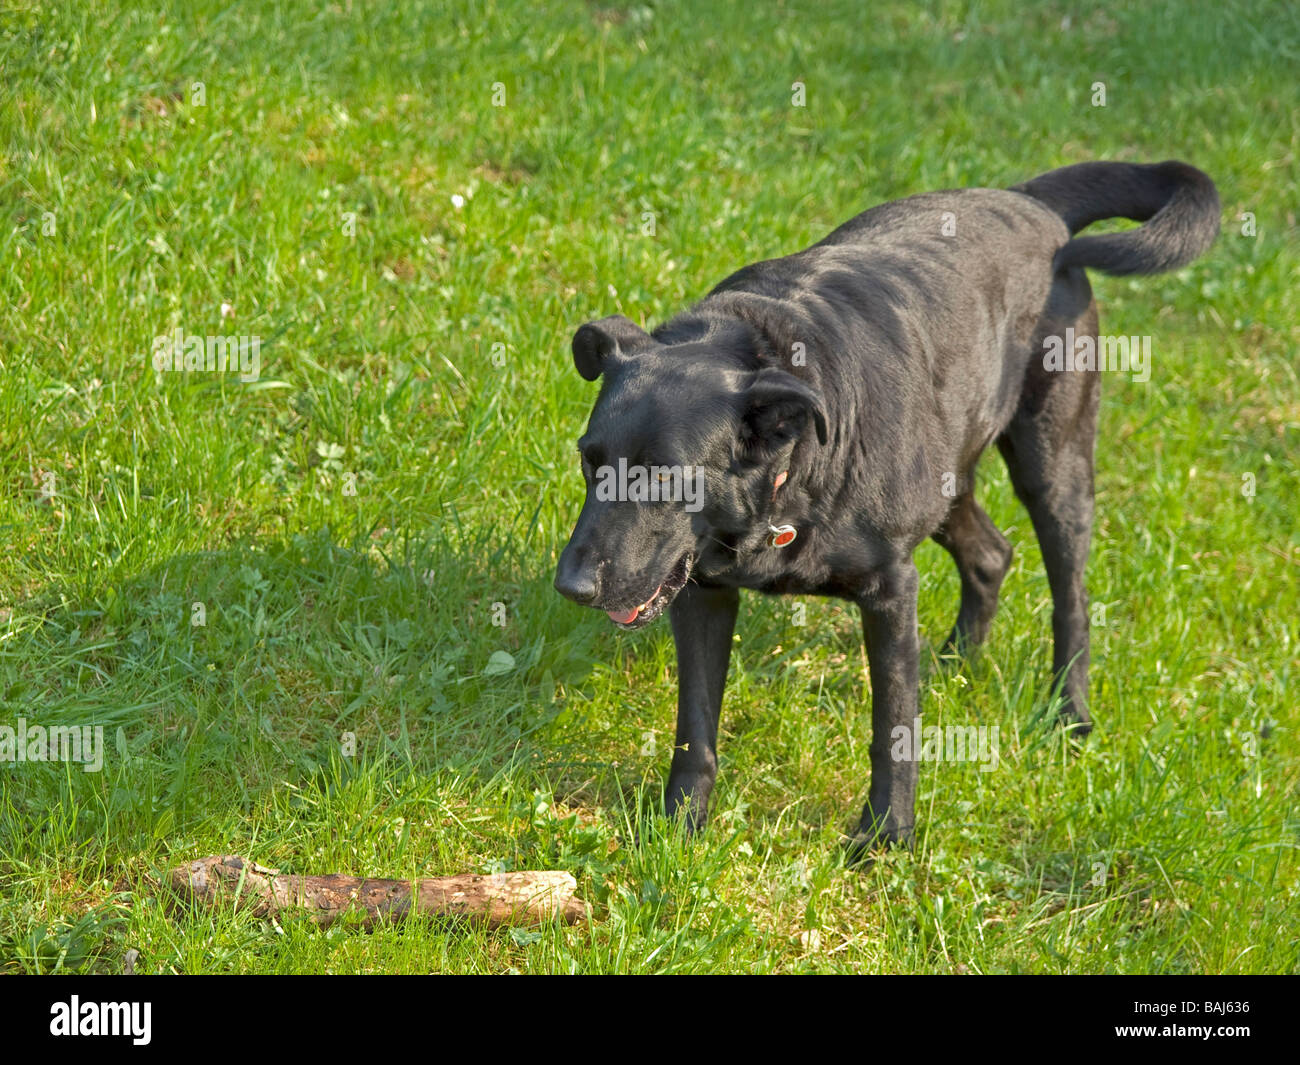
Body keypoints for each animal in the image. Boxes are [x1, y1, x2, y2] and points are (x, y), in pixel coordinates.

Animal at [551, 157, 1216, 853]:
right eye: (590, 462)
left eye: (665, 478)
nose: (571, 587)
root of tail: (1032, 203)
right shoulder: (703, 592)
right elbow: (696, 727)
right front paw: (679, 826)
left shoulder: (891, 590)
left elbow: (893, 730)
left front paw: (885, 836)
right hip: (949, 474)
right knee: (992, 554)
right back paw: (953, 663)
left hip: (1052, 464)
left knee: (1072, 599)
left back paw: (1069, 713)